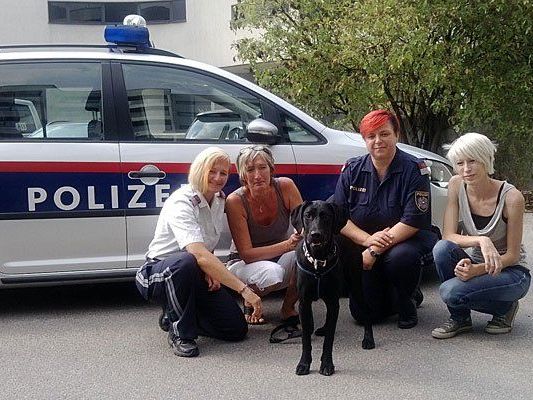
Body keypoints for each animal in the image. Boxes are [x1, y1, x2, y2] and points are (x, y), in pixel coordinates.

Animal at [290, 202, 374, 376]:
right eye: (307, 215)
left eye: (326, 216)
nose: (315, 234)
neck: (318, 262)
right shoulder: (304, 303)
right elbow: (305, 339)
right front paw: (304, 363)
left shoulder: (333, 302)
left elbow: (329, 339)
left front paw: (327, 364)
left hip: (355, 287)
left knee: (366, 311)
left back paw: (368, 339)